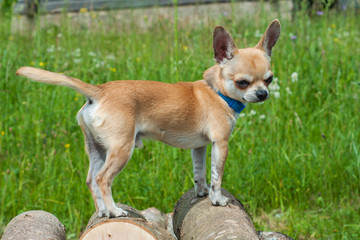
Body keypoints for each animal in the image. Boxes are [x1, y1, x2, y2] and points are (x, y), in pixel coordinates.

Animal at [16, 19, 282, 218]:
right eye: (242, 82)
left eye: (269, 79)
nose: (262, 94)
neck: (216, 91)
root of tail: (99, 91)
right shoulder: (221, 144)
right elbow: (217, 176)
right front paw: (216, 199)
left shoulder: (200, 147)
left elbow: (200, 173)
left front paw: (201, 193)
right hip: (122, 150)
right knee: (103, 179)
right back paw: (114, 210)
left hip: (97, 149)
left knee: (91, 180)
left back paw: (103, 212)